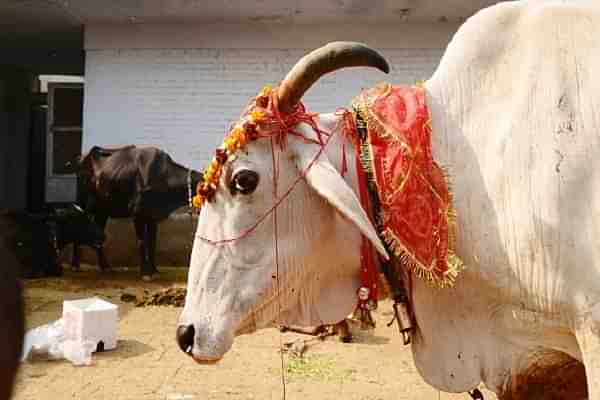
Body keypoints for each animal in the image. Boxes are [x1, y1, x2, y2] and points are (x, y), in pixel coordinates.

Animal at [77, 145, 203, 280]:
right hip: (84, 206)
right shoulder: (138, 213)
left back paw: (105, 267)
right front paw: (145, 272)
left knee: (98, 235)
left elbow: (152, 243)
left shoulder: (152, 216)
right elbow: (142, 242)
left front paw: (154, 270)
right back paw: (77, 265)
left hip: (102, 212)